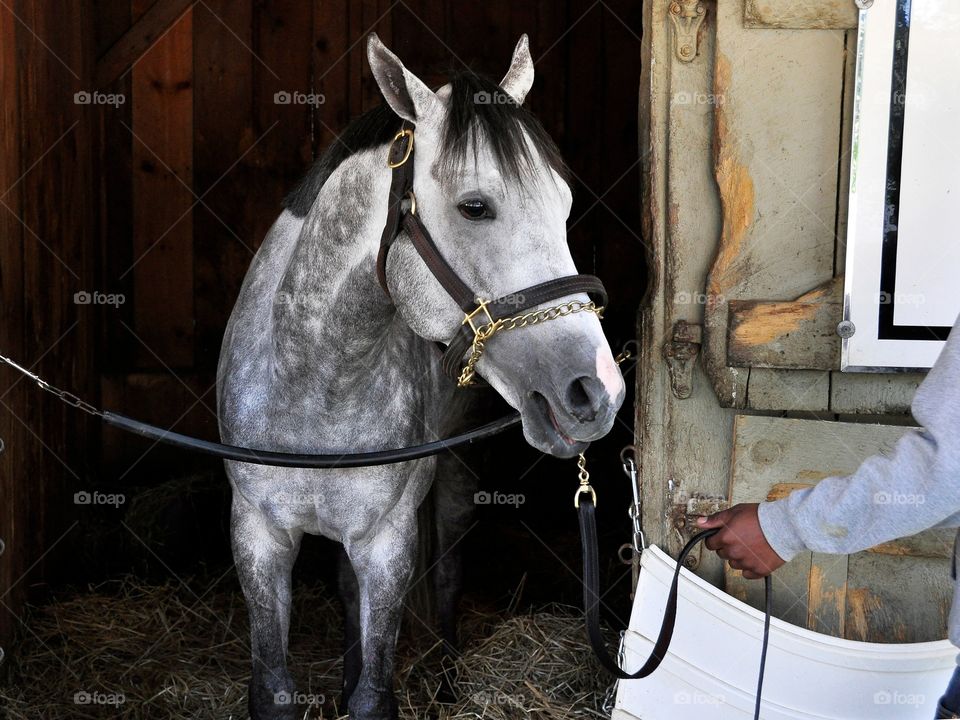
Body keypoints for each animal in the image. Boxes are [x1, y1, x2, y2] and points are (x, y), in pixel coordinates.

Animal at [216, 35, 632, 720]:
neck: (314, 383)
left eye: (565, 205)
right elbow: (273, 686)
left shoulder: (387, 543)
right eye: (474, 207)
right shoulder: (258, 536)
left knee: (447, 574)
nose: (596, 391)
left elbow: (374, 694)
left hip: (454, 479)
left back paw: (447, 681)